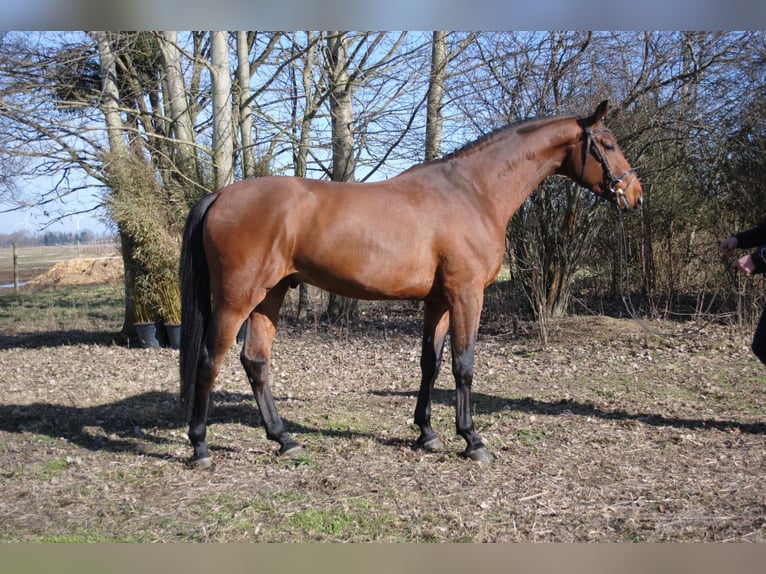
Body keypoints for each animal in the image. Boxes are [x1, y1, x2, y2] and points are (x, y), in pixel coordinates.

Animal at [179, 100, 643, 468]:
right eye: (609, 145)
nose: (635, 194)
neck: (474, 191)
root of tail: (220, 196)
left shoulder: (438, 301)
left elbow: (430, 363)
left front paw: (427, 433)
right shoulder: (466, 295)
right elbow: (463, 365)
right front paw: (472, 440)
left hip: (269, 297)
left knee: (255, 362)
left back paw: (284, 439)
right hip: (237, 299)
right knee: (209, 361)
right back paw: (200, 447)